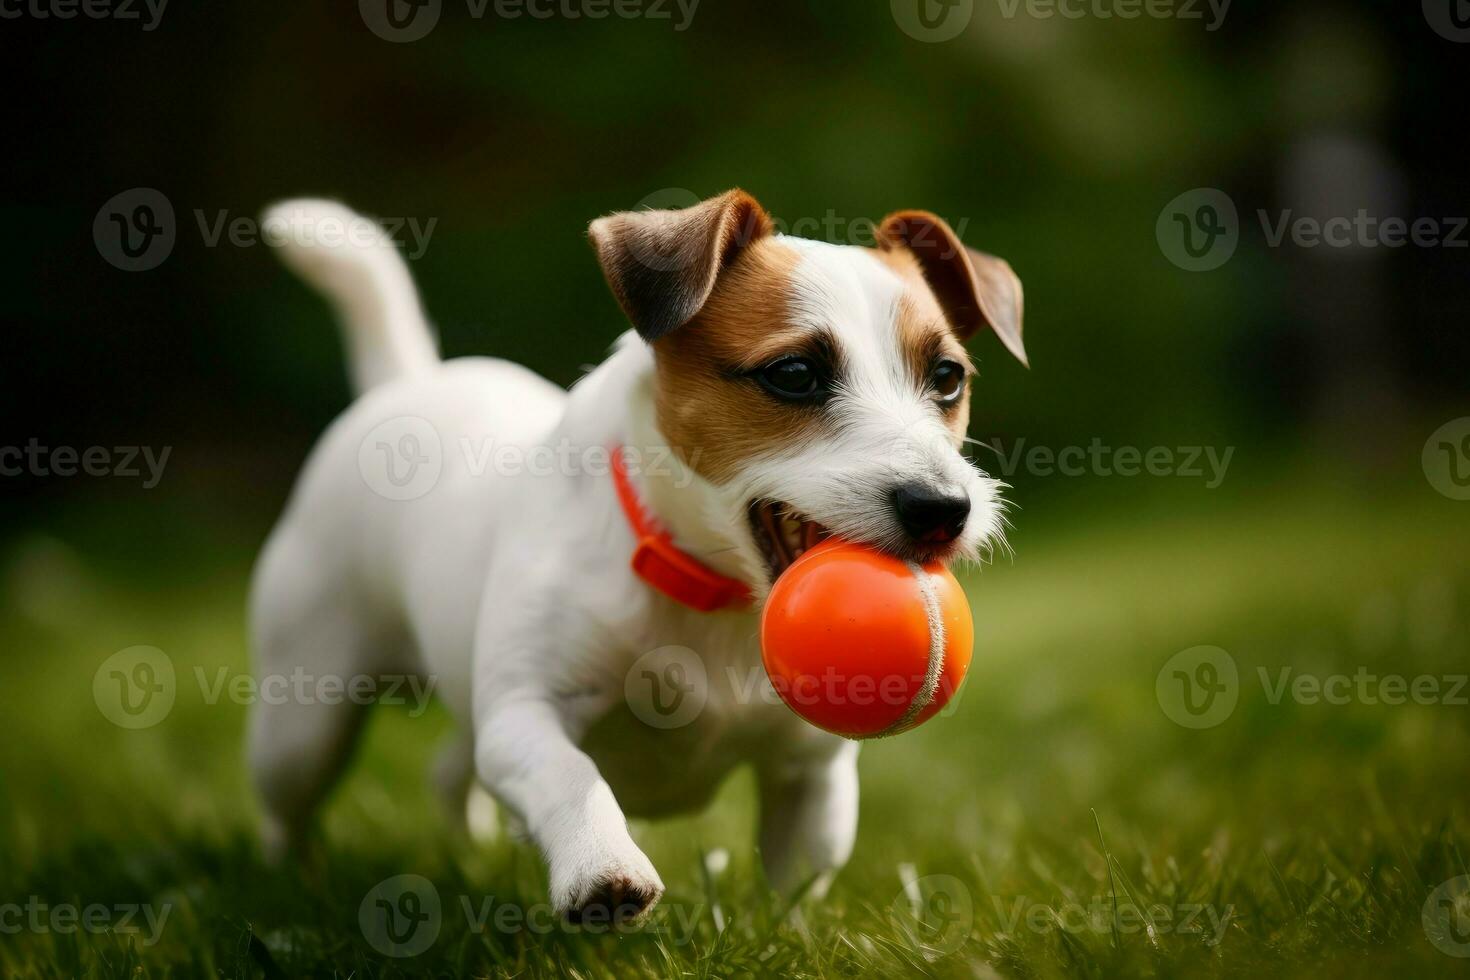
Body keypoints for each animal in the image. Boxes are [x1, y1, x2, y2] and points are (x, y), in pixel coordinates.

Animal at [246, 188, 1029, 922]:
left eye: (947, 377)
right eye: (795, 373)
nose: (944, 509)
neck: (712, 590)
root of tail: (407, 385)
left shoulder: (809, 771)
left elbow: (797, 881)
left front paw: (790, 934)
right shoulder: (523, 713)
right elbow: (569, 775)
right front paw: (603, 867)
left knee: (446, 769)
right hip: (303, 721)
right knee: (287, 802)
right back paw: (288, 880)